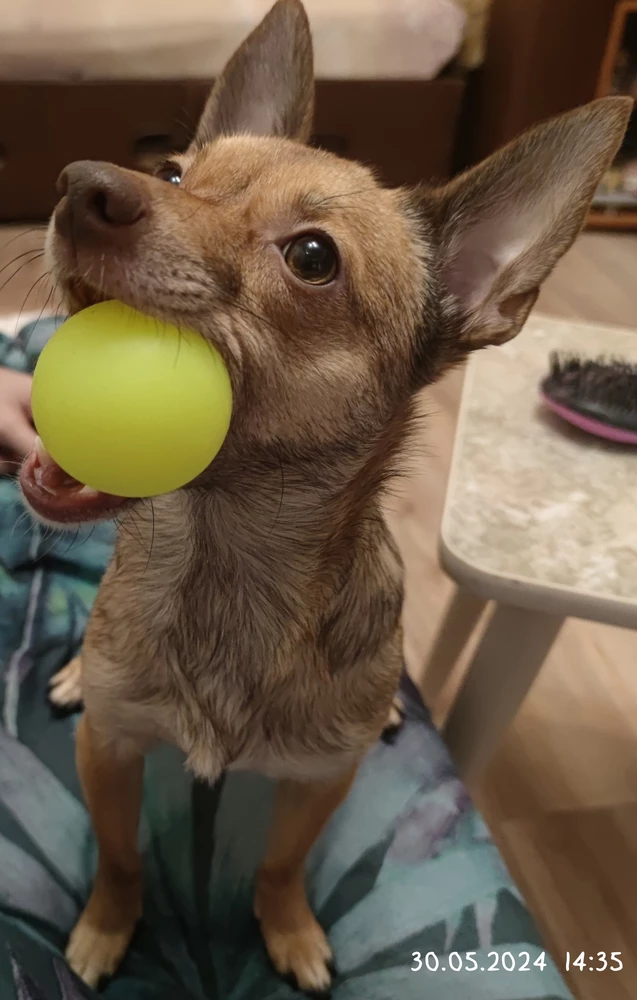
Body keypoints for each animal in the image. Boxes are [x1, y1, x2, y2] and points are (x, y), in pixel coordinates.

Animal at [18, 0, 628, 992]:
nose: (81, 185)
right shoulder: (107, 751)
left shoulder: (316, 785)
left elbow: (279, 865)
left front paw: (290, 929)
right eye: (173, 172)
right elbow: (119, 857)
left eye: (311, 257)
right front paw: (107, 926)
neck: (226, 565)